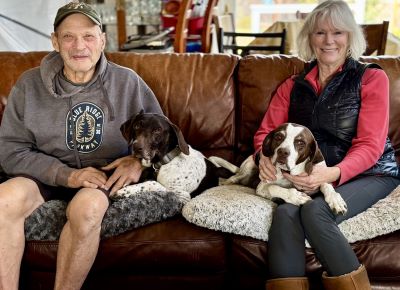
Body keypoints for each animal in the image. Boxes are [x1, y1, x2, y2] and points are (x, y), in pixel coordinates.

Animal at [211, 122, 348, 215]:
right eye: (278, 137)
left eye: (300, 143)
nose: (283, 152)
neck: (290, 173)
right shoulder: (261, 186)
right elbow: (274, 187)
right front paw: (296, 196)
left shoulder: (316, 178)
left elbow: (326, 185)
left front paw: (335, 199)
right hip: (248, 167)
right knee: (233, 178)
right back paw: (223, 182)